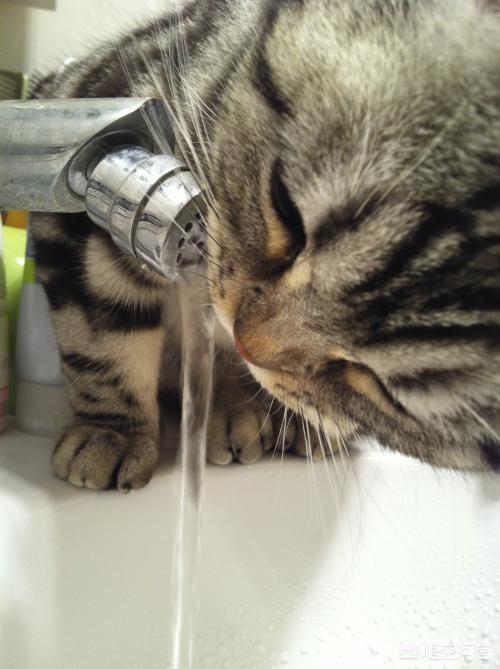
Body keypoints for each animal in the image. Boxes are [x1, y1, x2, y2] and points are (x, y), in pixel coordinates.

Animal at [29, 0, 500, 491]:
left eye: (382, 386)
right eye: (286, 207)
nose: (247, 342)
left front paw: (253, 406)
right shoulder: (102, 150)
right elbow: (99, 340)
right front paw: (113, 432)